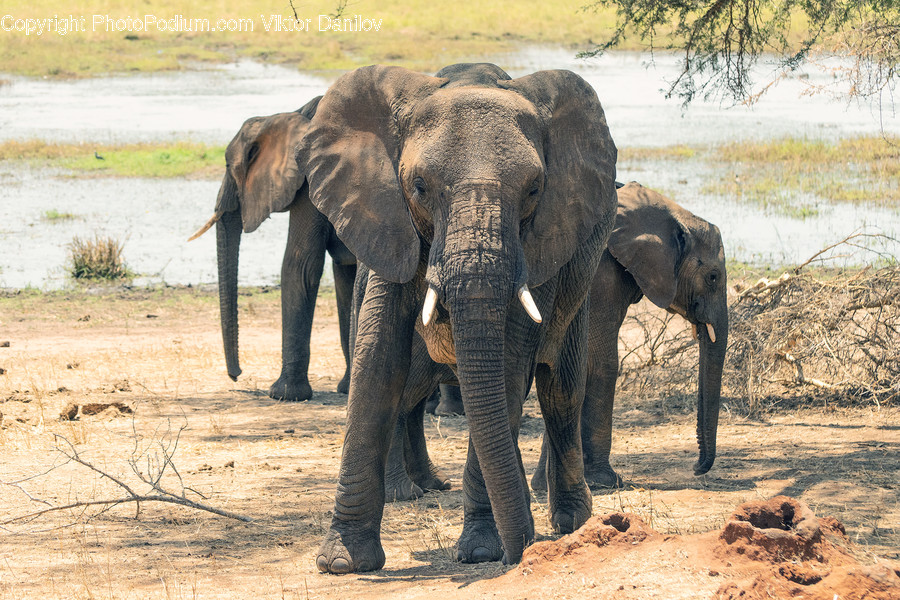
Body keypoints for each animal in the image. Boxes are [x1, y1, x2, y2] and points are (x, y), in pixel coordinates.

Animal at [189, 97, 356, 401]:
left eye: (229, 165)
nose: (236, 375)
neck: (290, 115)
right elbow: (344, 273)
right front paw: (345, 390)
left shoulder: (309, 178)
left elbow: (300, 264)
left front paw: (284, 395)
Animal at [295, 63, 618, 572]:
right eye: (419, 187)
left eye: (534, 189)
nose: (521, 553)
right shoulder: (390, 226)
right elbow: (377, 363)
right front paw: (343, 563)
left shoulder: (540, 244)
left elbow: (507, 365)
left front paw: (484, 551)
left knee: (560, 389)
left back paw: (569, 523)